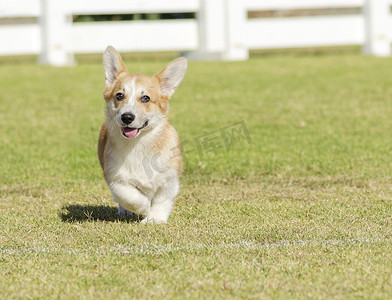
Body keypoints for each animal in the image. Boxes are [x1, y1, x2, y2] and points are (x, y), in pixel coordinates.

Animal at [99, 46, 188, 223]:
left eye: (145, 98)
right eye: (119, 95)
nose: (127, 117)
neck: (138, 144)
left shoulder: (169, 180)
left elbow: (162, 200)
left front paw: (155, 219)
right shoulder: (114, 177)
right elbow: (128, 195)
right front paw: (143, 207)